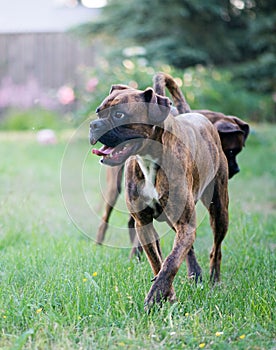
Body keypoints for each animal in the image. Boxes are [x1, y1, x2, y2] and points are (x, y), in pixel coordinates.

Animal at [90, 85, 229, 308]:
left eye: (119, 115)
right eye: (98, 112)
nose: (94, 125)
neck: (148, 160)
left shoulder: (185, 224)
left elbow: (171, 262)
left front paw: (155, 297)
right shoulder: (144, 224)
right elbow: (158, 261)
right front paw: (167, 297)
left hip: (219, 211)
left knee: (216, 250)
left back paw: (214, 281)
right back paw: (194, 273)